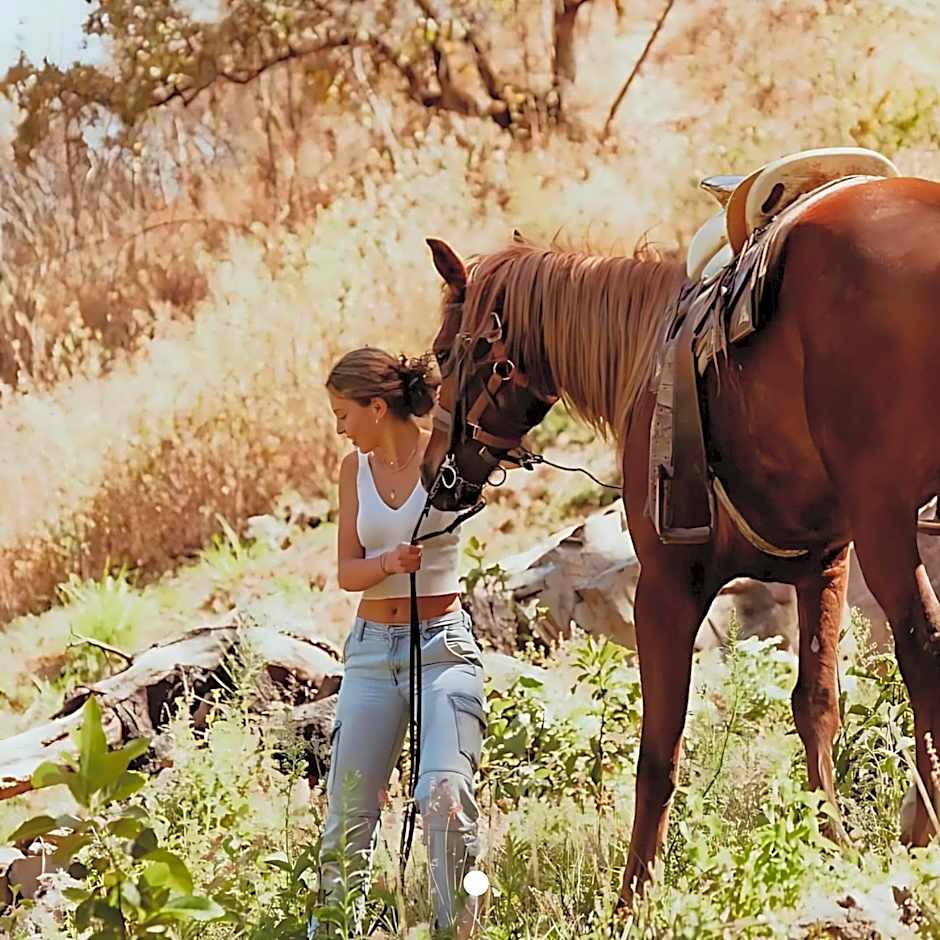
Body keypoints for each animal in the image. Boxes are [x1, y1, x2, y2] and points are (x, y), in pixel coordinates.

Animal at [418, 174, 940, 911]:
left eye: (443, 352)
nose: (436, 476)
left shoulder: (666, 589)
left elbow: (658, 750)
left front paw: (632, 895)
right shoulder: (824, 568)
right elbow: (816, 705)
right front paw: (831, 846)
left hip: (888, 524)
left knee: (925, 650)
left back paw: (921, 830)